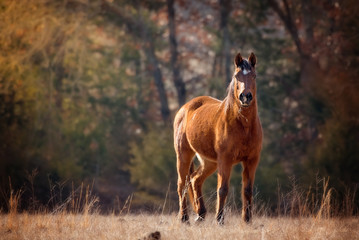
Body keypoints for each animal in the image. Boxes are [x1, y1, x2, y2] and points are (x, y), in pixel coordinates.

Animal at [173, 51, 262, 224]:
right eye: (236, 76)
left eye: (254, 76)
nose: (246, 97)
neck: (244, 126)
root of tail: (185, 108)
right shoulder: (225, 159)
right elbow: (223, 189)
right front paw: (220, 220)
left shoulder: (252, 160)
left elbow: (247, 190)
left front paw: (247, 220)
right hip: (184, 155)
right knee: (182, 184)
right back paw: (184, 218)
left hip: (209, 162)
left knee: (195, 180)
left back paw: (200, 215)